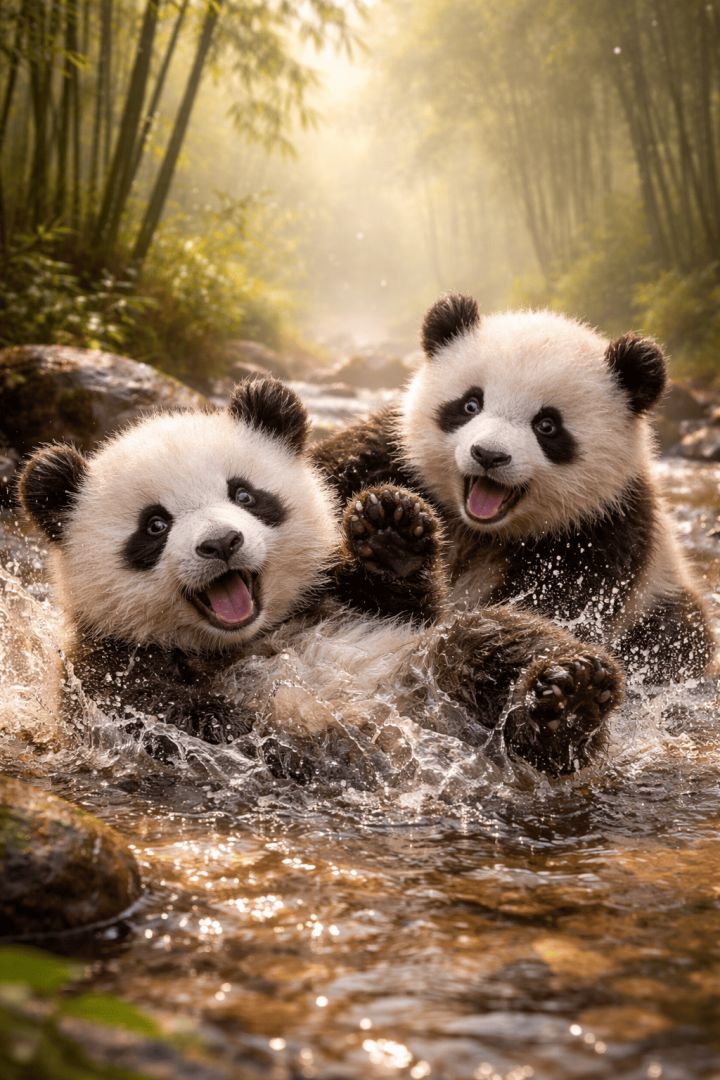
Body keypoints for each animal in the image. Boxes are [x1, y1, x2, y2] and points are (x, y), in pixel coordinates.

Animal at [17, 376, 623, 779]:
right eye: (154, 525)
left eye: (245, 495)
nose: (221, 543)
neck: (249, 635)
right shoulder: (106, 671)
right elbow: (182, 722)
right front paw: (284, 723)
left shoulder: (337, 599)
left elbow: (407, 603)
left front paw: (391, 532)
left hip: (422, 667)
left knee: (492, 639)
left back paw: (572, 696)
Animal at [312, 295, 715, 683]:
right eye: (470, 404)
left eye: (547, 426)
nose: (488, 455)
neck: (477, 531)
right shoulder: (387, 453)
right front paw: (388, 531)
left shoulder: (602, 528)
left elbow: (556, 608)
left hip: (660, 600)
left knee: (677, 635)